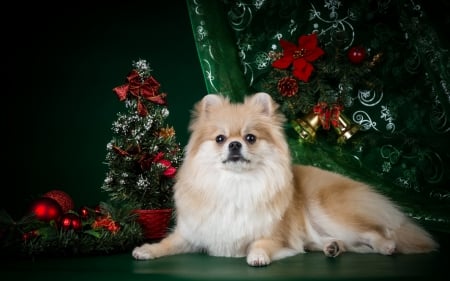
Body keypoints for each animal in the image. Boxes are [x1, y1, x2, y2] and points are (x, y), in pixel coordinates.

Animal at [132, 91, 438, 264]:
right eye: (220, 139)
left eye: (250, 138)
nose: (234, 144)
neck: (236, 184)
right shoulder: (192, 233)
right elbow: (167, 244)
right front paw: (147, 250)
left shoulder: (276, 236)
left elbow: (261, 242)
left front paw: (256, 255)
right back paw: (332, 247)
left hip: (328, 211)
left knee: (377, 232)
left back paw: (387, 245)